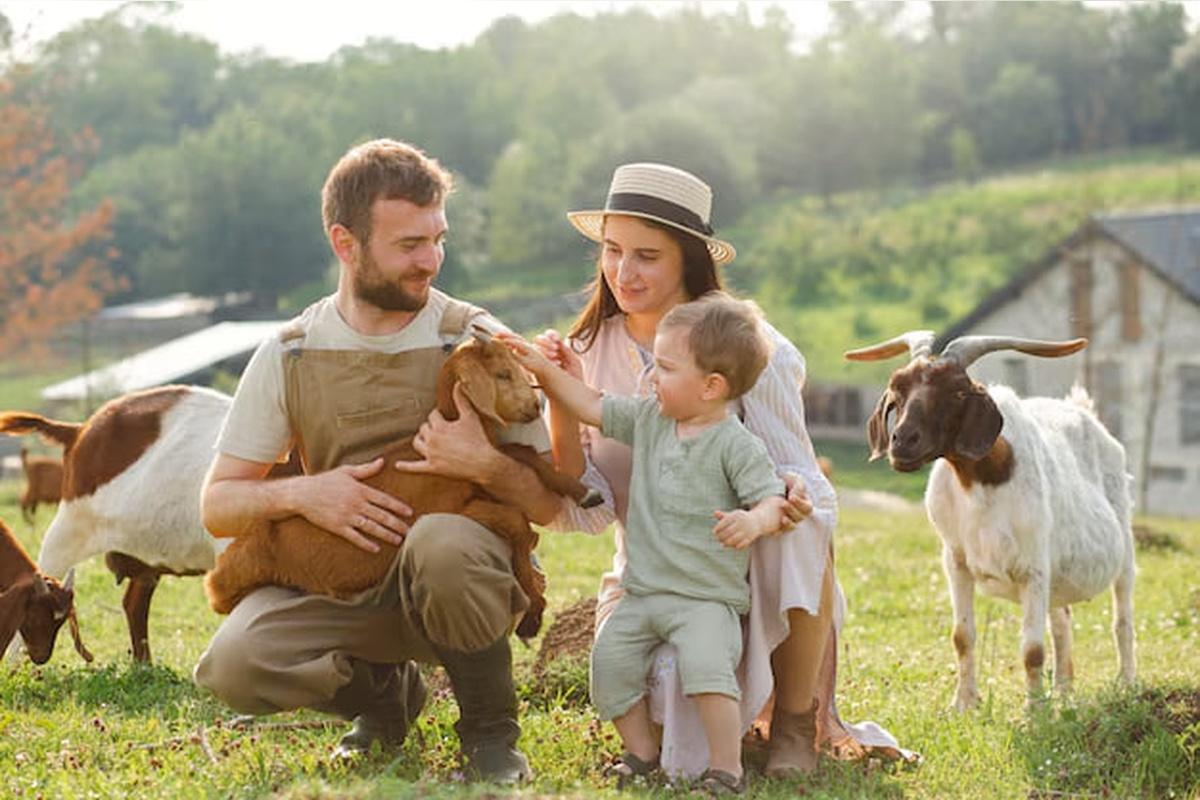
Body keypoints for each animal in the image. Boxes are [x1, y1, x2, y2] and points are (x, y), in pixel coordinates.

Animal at [844, 335, 1132, 710]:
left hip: (1123, 548)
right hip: (1057, 577)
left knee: (1122, 620)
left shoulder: (1033, 568)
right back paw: (1063, 693)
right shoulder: (956, 562)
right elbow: (962, 636)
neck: (983, 484)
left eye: (957, 392)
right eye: (897, 388)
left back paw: (1126, 684)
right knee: (1062, 622)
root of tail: (1084, 412)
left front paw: (1034, 712)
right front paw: (963, 704)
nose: (903, 442)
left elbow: (1032, 650)